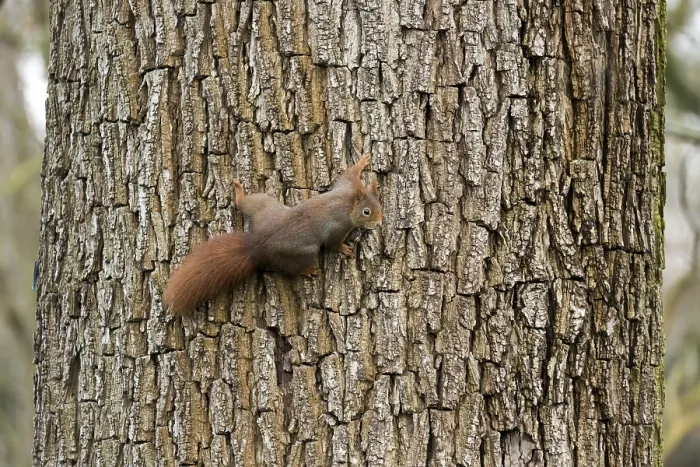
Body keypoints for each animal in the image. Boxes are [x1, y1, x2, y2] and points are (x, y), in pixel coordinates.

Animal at [162, 153, 383, 316]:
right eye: (366, 212)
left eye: (379, 205)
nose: (379, 223)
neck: (348, 202)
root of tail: (259, 244)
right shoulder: (338, 227)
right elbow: (333, 243)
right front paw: (345, 249)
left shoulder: (347, 185)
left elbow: (348, 173)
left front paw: (362, 161)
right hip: (300, 252)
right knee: (289, 268)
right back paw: (307, 270)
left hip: (264, 206)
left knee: (243, 204)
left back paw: (238, 191)